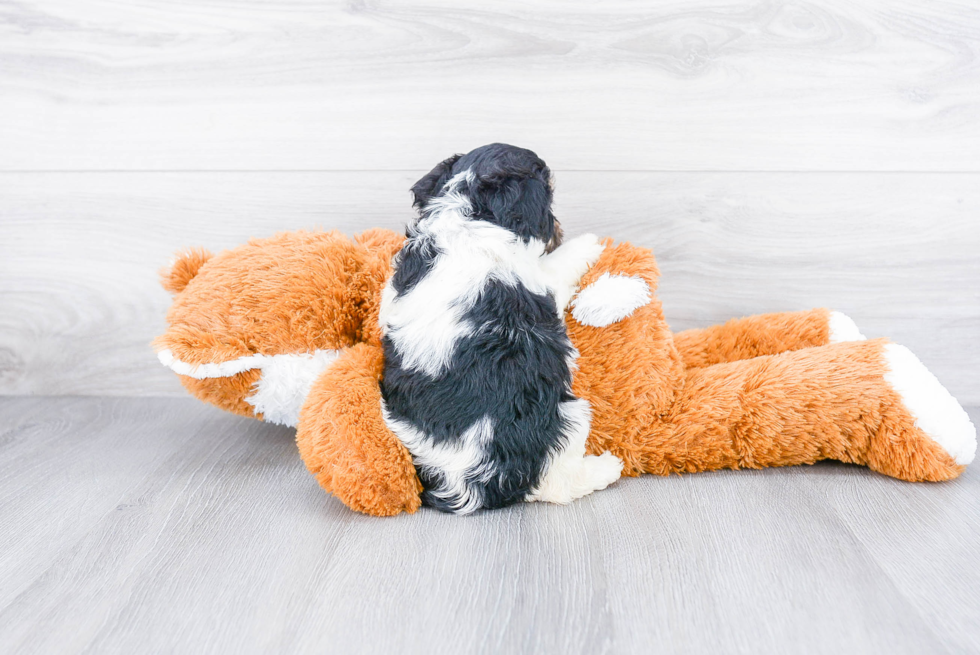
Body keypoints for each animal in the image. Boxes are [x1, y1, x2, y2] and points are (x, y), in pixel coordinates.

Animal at [378, 145, 624, 516]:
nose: (558, 229)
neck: (467, 215)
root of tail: (472, 484)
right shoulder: (541, 280)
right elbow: (560, 264)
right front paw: (588, 243)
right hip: (570, 415)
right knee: (557, 485)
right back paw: (607, 468)